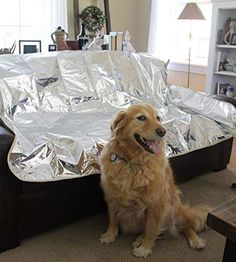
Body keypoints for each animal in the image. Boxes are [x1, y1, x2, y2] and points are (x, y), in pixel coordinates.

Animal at [99, 103, 206, 256]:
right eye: (141, 117)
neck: (133, 163)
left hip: (174, 207)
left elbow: (151, 229)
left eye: (158, 118)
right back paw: (139, 239)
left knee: (185, 226)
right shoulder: (111, 197)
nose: (163, 131)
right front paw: (109, 235)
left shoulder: (155, 203)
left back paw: (196, 241)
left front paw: (145, 248)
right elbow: (112, 220)